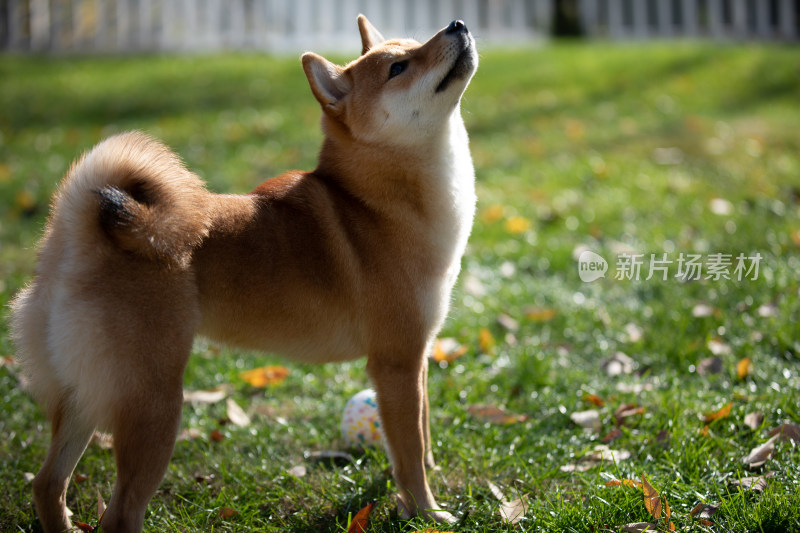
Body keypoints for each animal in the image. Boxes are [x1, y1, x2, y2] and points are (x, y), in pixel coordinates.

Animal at [12, 14, 478, 528]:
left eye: (415, 43)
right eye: (398, 67)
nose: (456, 23)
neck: (372, 202)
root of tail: (77, 239)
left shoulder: (418, 356)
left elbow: (422, 430)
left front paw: (427, 480)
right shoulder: (396, 361)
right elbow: (409, 451)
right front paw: (426, 511)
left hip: (83, 395)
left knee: (48, 483)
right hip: (154, 406)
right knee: (118, 515)